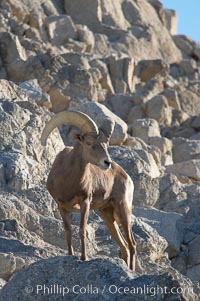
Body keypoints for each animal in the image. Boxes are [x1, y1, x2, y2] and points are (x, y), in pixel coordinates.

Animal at [41, 110, 137, 270]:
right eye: (89, 143)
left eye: (106, 145)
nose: (107, 162)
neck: (68, 181)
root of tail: (126, 177)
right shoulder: (62, 207)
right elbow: (68, 232)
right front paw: (70, 255)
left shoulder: (85, 203)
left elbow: (82, 231)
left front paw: (84, 258)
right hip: (108, 216)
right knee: (124, 246)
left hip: (123, 210)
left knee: (132, 244)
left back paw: (132, 271)